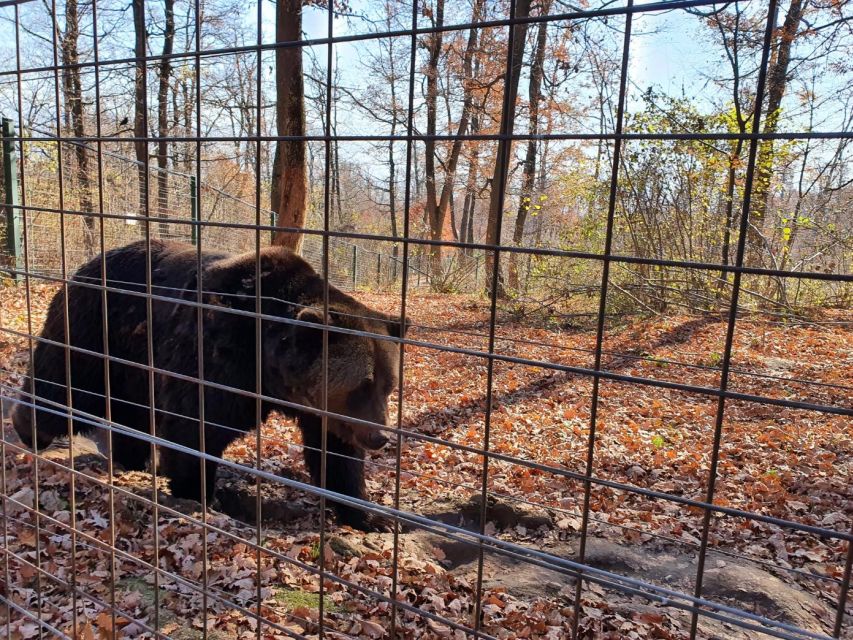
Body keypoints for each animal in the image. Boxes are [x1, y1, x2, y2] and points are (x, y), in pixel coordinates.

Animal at [12, 239, 407, 531]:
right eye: (360, 386)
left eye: (387, 386)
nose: (380, 437)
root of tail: (88, 263)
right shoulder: (217, 356)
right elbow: (195, 428)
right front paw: (198, 495)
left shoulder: (317, 409)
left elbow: (336, 453)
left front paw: (369, 516)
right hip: (95, 328)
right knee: (64, 383)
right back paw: (31, 431)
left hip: (133, 365)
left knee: (131, 413)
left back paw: (134, 459)